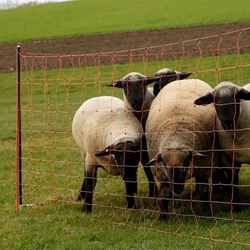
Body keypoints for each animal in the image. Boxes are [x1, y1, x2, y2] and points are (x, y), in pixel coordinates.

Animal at [146, 79, 218, 220]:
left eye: (185, 162)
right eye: (164, 163)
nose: (177, 189)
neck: (176, 137)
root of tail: (185, 79)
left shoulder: (205, 168)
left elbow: (203, 190)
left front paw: (208, 212)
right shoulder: (161, 173)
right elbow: (165, 193)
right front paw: (162, 216)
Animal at [194, 81, 250, 211]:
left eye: (237, 97)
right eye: (214, 101)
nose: (227, 122)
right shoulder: (227, 158)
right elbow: (233, 180)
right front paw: (236, 206)